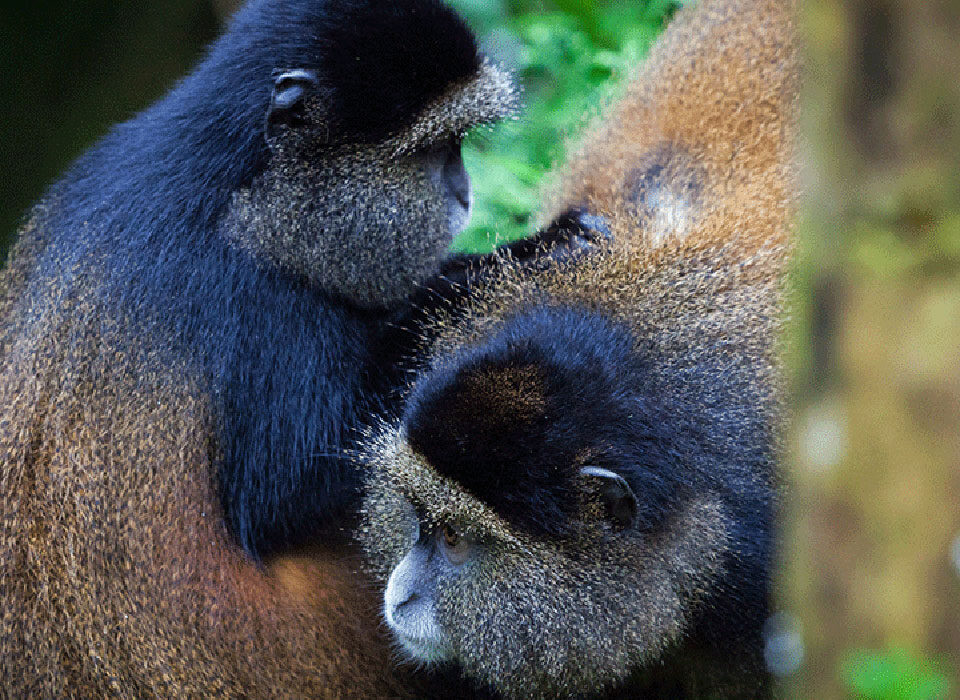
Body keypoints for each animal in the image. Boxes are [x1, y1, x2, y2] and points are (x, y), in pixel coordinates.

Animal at [0, 0, 604, 696]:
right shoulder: (244, 290)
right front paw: (525, 257)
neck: (241, 184)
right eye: (431, 151)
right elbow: (287, 487)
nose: (463, 192)